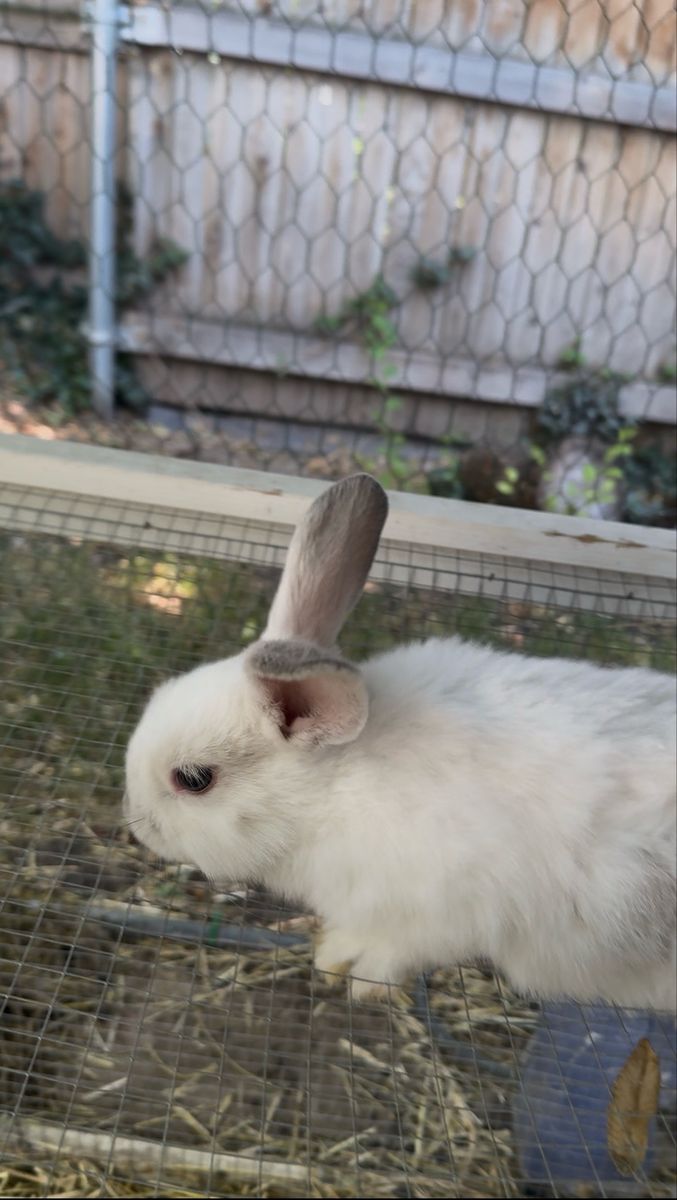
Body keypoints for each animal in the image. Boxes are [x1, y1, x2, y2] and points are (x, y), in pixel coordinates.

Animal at [125, 474, 677, 1011]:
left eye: (194, 779)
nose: (136, 824)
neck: (332, 792)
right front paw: (332, 956)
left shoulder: (445, 913)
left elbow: (401, 948)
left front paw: (359, 977)